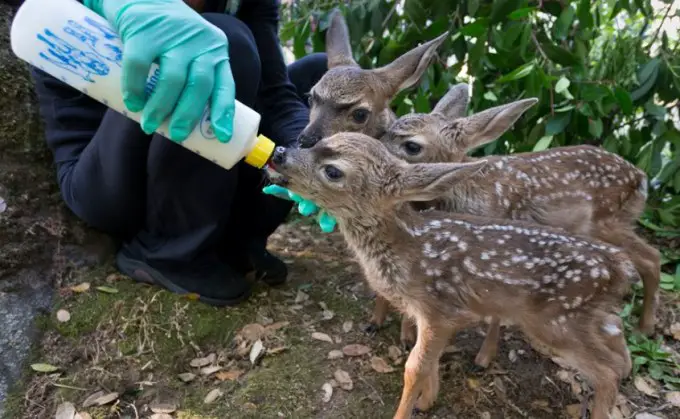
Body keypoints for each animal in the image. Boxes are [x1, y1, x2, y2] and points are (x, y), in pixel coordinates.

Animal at [268, 135, 636, 419]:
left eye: (333, 171)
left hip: (554, 321)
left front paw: (408, 410)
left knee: (606, 371)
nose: (279, 152)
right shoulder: (431, 315)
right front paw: (427, 402)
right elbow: (428, 362)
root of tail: (618, 265)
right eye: (317, 142)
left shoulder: (439, 310)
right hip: (581, 316)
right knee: (616, 336)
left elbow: (414, 367)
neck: (407, 249)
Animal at [378, 83, 660, 366]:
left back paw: (644, 328)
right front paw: (405, 336)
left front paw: (484, 358)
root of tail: (641, 177)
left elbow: (496, 310)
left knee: (651, 256)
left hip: (607, 222)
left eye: (411, 146)